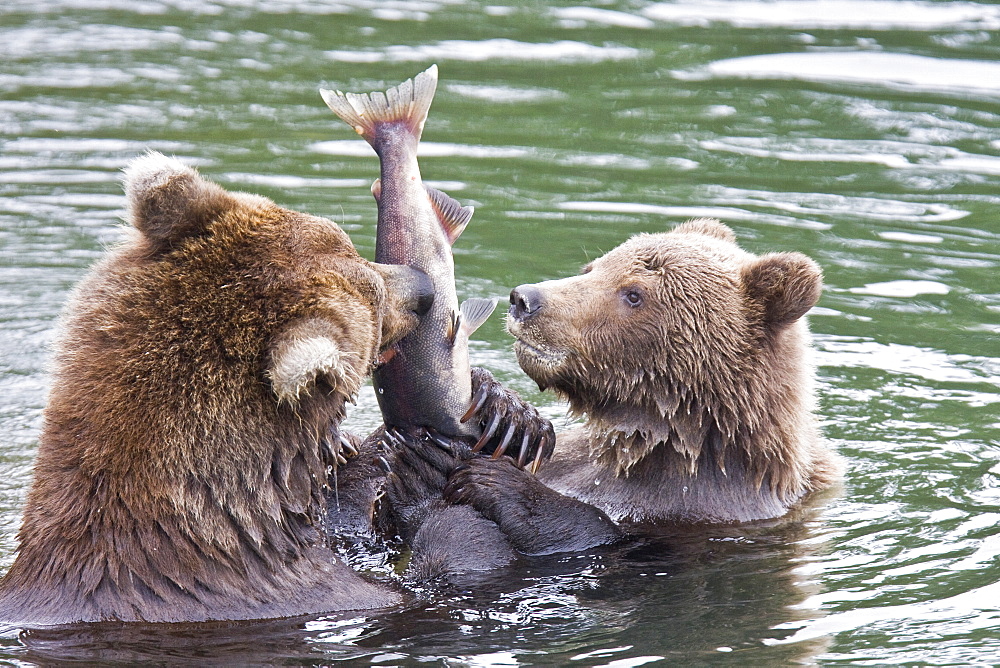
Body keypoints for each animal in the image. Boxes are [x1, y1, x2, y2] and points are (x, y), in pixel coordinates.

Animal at [436, 218, 836, 552]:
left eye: (633, 294)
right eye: (592, 268)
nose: (524, 299)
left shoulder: (700, 510)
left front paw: (500, 484)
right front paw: (506, 411)